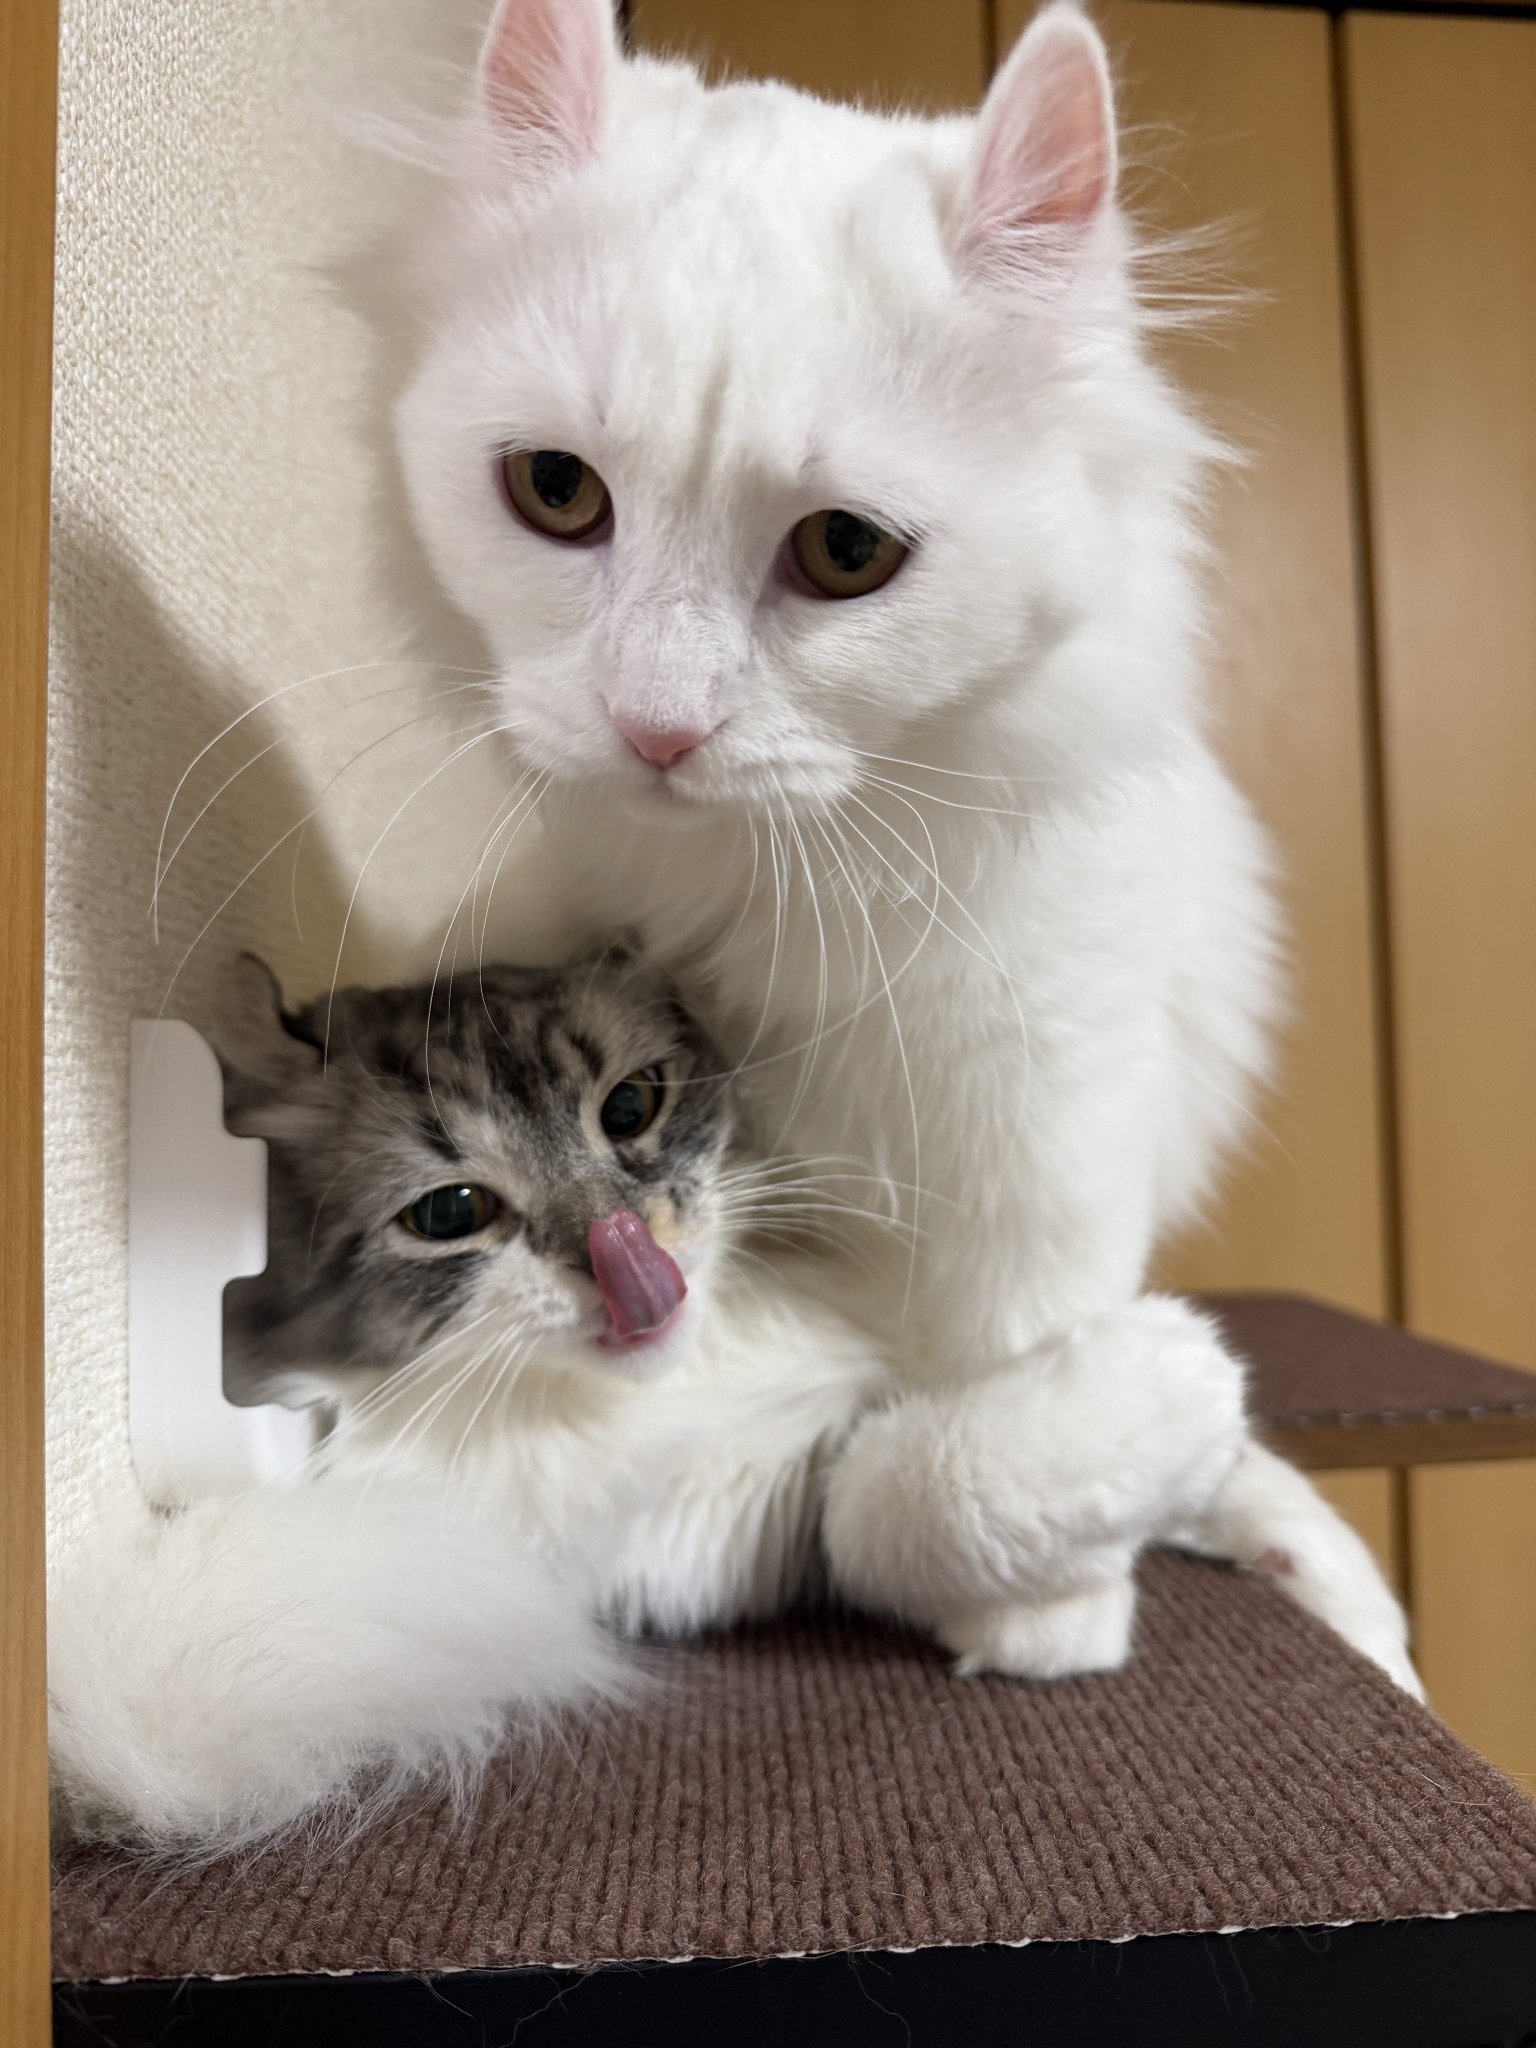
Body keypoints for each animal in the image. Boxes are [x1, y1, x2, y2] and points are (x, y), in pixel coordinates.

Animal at [366, 0, 1408, 1684]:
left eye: (848, 552)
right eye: (555, 492)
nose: (655, 727)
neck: (774, 883)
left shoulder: (1041, 1131)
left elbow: (992, 1403)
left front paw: (1049, 1606)